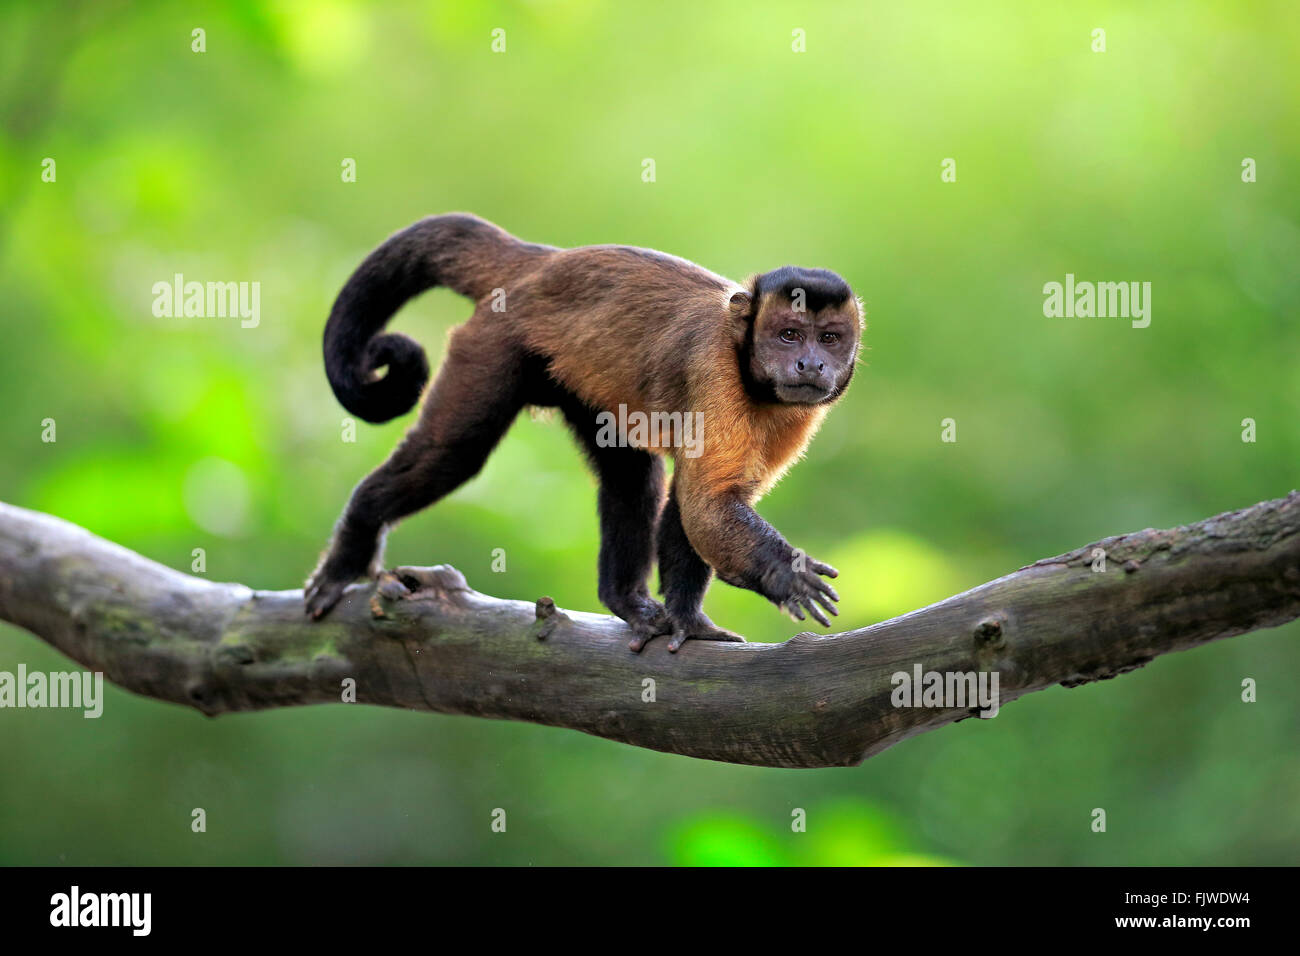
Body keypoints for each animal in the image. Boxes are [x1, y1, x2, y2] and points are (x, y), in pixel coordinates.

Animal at [304, 214, 863, 655]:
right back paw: (352, 546)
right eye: (789, 335)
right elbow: (706, 502)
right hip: (496, 340)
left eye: (829, 339)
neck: (751, 375)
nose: (811, 363)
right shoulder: (713, 368)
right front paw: (785, 573)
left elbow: (694, 502)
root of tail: (541, 261)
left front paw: (687, 620)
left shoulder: (797, 416)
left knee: (629, 474)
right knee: (452, 453)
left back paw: (625, 600)